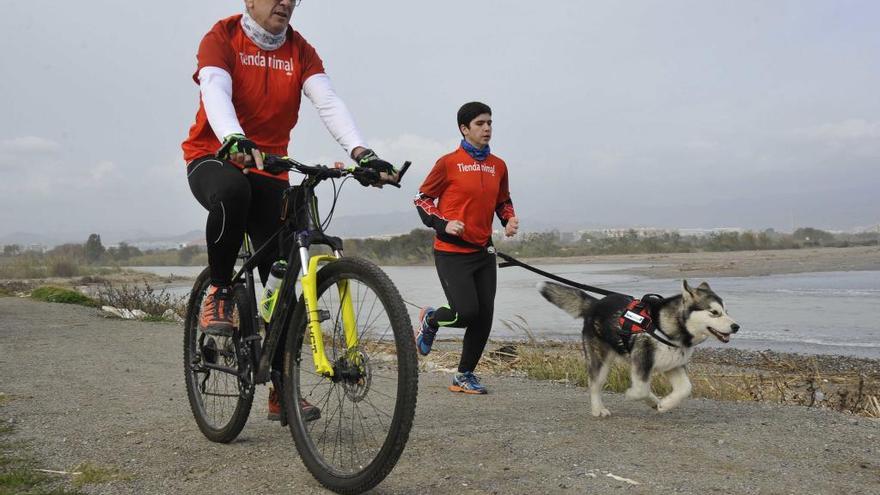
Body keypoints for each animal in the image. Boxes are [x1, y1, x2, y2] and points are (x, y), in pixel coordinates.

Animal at [540, 280, 740, 416]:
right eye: (714, 312)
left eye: (726, 311)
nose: (736, 326)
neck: (665, 326)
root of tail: (595, 304)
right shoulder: (642, 361)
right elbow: (641, 389)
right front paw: (637, 396)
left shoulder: (673, 365)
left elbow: (686, 389)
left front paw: (665, 404)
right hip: (600, 360)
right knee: (594, 384)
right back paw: (598, 409)